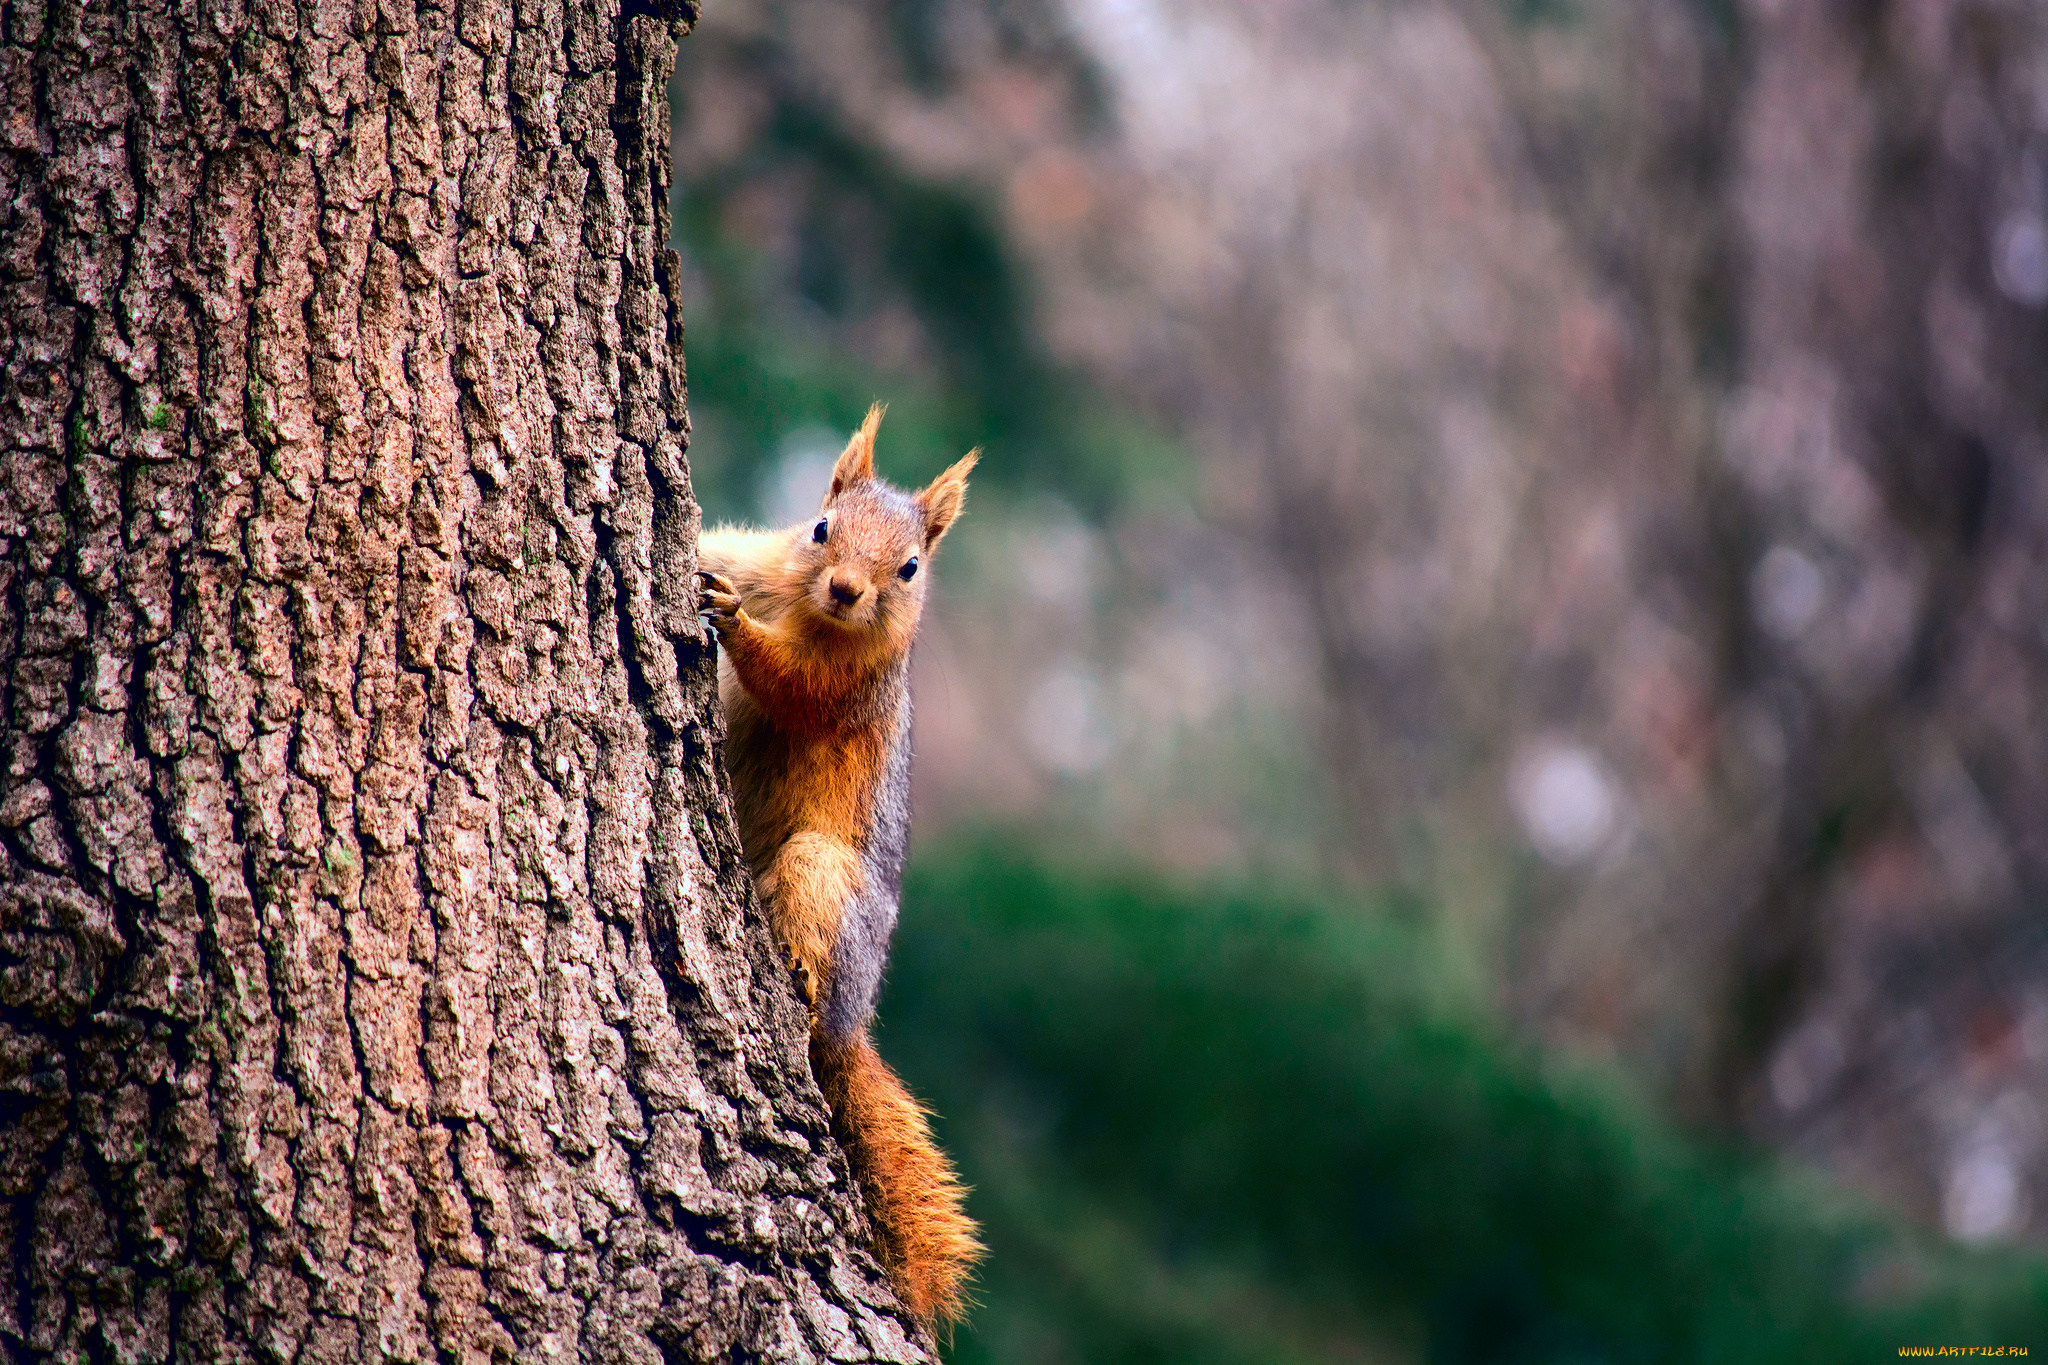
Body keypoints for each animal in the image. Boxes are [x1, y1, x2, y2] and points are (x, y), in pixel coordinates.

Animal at [696, 403, 983, 1326]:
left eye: (910, 566)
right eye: (821, 527)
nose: (848, 590)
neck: (805, 608)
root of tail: (858, 1020)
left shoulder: (851, 684)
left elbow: (791, 685)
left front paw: (736, 626)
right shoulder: (759, 555)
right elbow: (721, 548)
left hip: (823, 875)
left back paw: (799, 971)